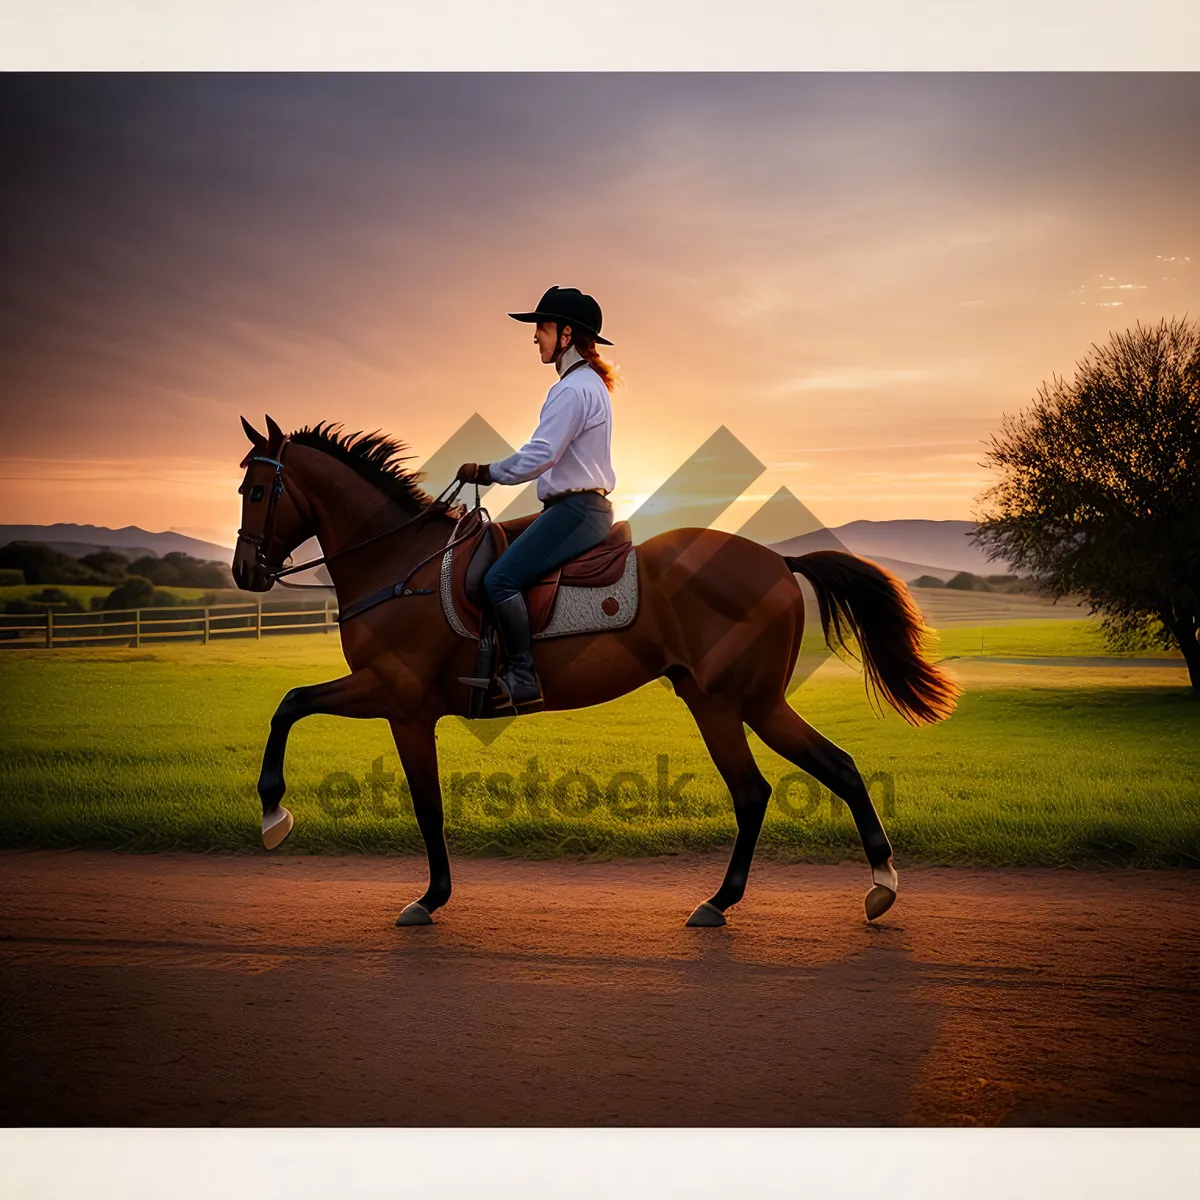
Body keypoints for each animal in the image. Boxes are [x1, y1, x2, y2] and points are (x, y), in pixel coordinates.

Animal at [236, 412, 964, 926]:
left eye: (260, 488)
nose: (246, 572)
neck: (399, 564)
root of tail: (778, 562)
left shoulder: (399, 699)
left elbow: (406, 789)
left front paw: (284, 820)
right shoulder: (395, 700)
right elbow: (294, 706)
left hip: (743, 702)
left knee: (796, 778)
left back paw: (854, 888)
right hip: (722, 701)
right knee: (781, 783)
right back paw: (751, 898)